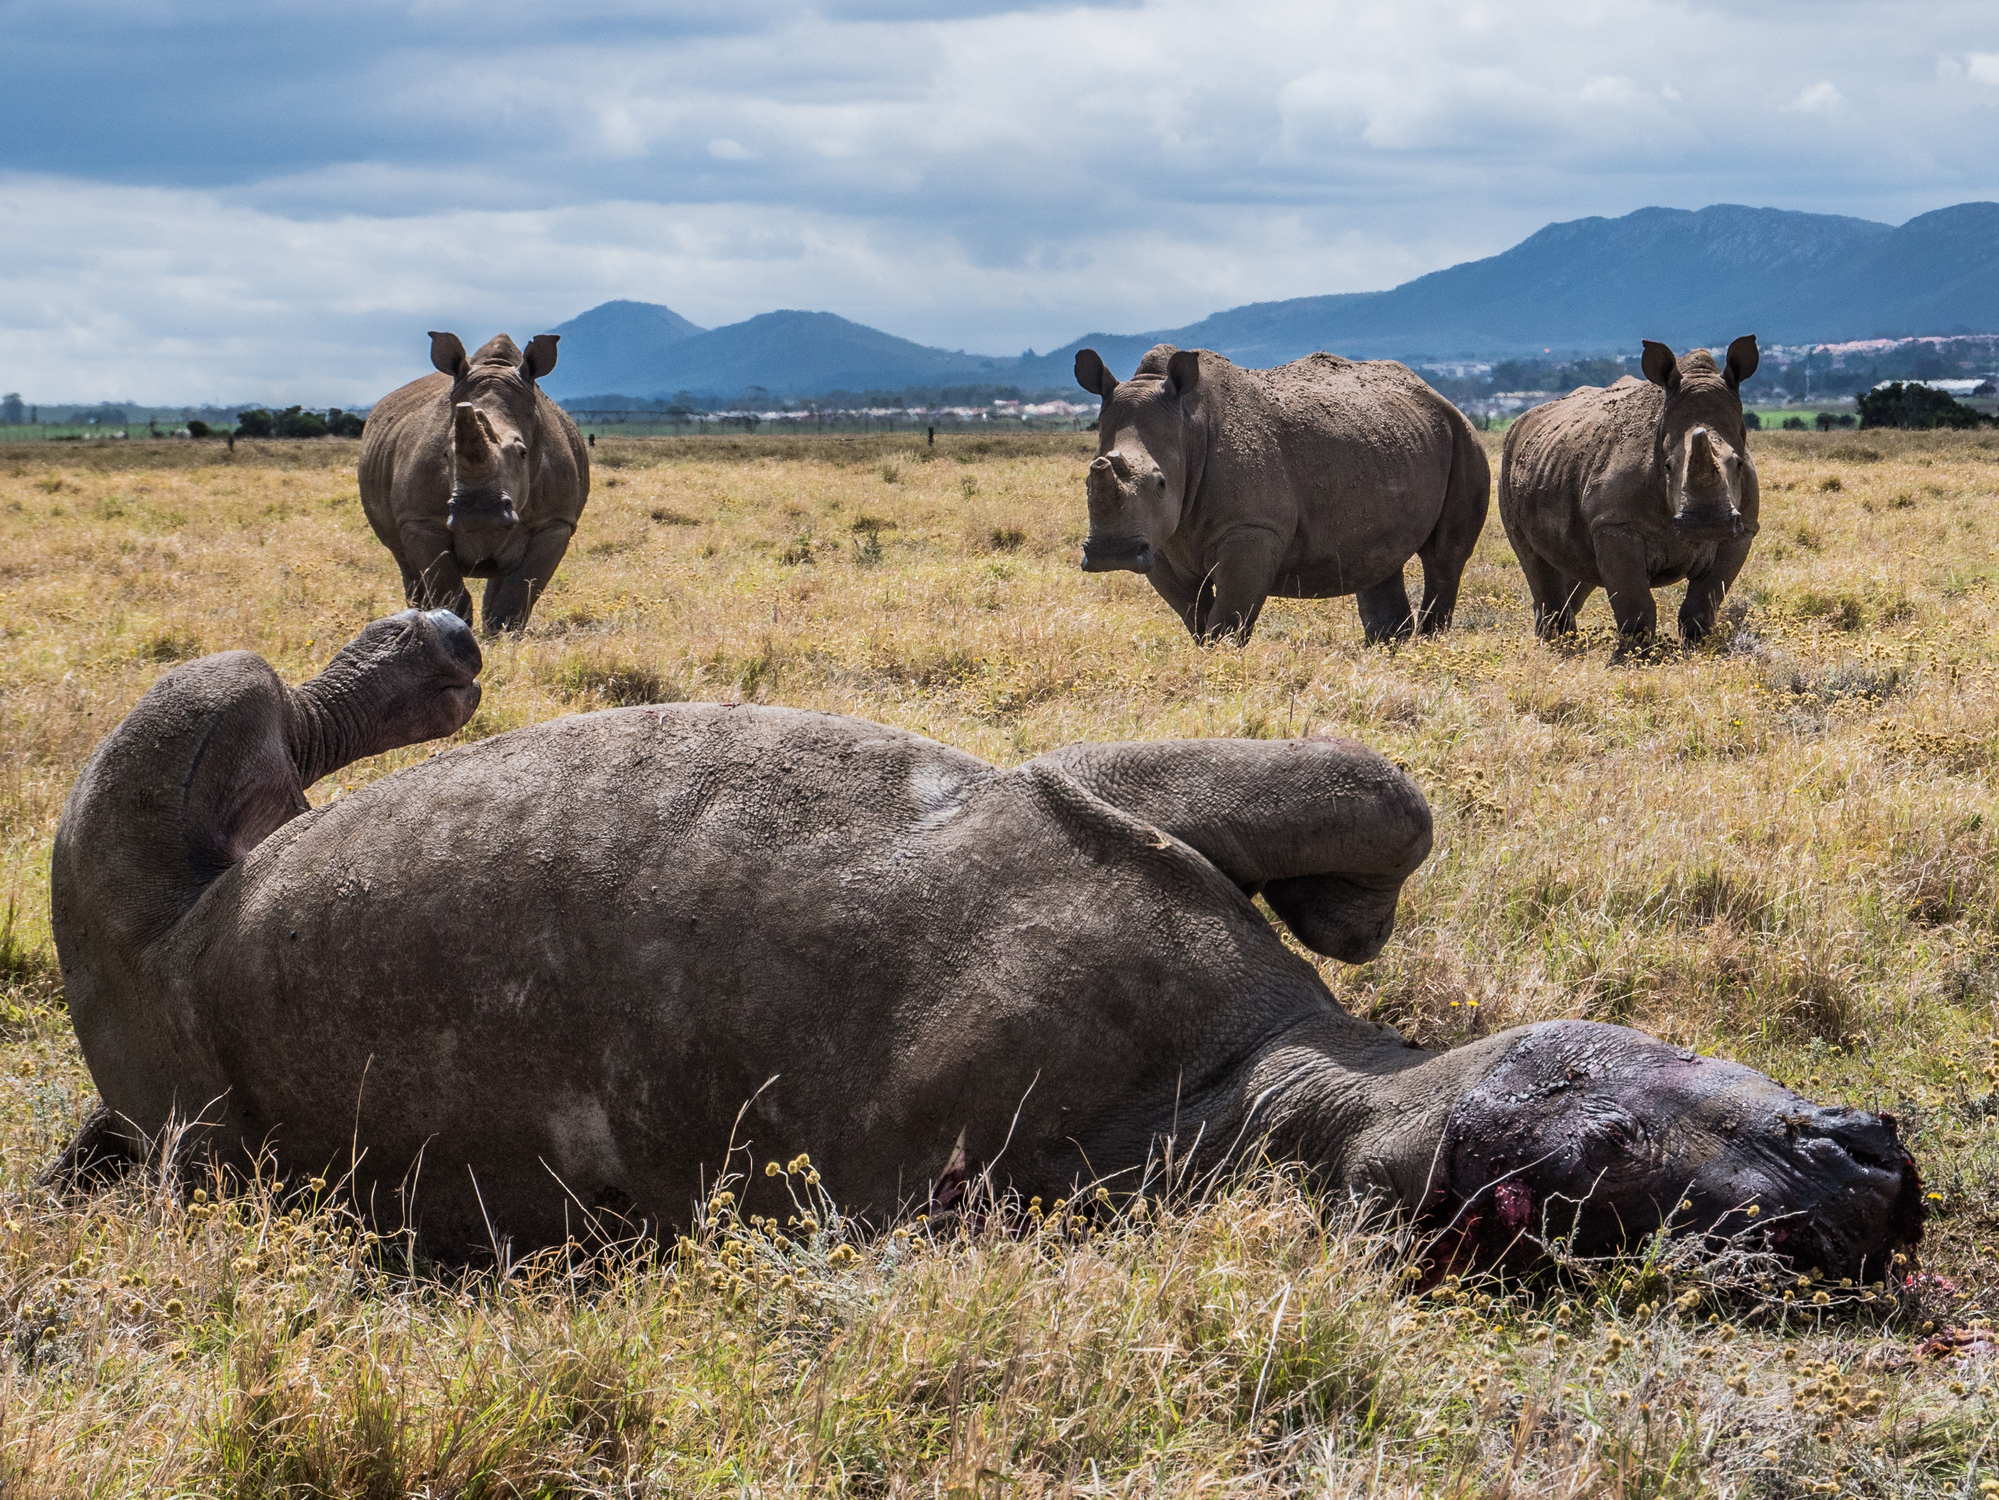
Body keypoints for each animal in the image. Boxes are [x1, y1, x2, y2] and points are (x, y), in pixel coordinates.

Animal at [50, 616, 1919, 1272]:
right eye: (1626, 1156)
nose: (1875, 1177)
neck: (1254, 1104)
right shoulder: (1128, 794)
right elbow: (1382, 802)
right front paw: (1352, 906)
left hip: (197, 1085)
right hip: (162, 814)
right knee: (253, 708)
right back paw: (407, 656)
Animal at [363, 328, 587, 636]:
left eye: (523, 453)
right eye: (446, 453)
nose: (478, 513)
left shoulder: (555, 521)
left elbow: (519, 591)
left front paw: (502, 637)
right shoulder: (420, 519)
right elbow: (446, 587)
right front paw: (450, 627)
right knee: (403, 560)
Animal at [1071, 346, 1495, 648]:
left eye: (1160, 483)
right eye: (1087, 482)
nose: (1113, 554)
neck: (1188, 426)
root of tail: (1435, 393)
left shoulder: (1253, 529)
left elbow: (1228, 619)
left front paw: (1221, 661)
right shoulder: (1158, 541)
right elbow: (1194, 615)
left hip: (1463, 436)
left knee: (1444, 558)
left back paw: (1429, 646)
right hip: (1393, 439)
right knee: (1379, 557)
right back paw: (1391, 649)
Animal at [1503, 334, 1767, 648]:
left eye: (1739, 463)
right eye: (1667, 466)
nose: (1707, 524)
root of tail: (1524, 420)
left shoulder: (1743, 528)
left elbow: (1702, 605)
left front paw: (1694, 648)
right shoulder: (1616, 523)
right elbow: (1636, 606)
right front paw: (1636, 653)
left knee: (1578, 565)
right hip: (1509, 459)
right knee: (1534, 559)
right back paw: (1555, 643)